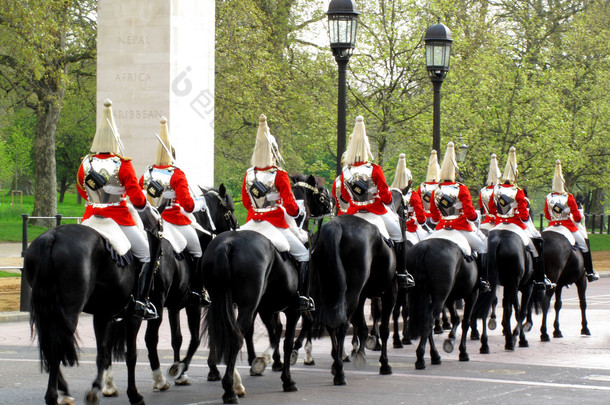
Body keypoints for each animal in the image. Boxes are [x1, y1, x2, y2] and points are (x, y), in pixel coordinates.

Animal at [24, 210, 162, 402]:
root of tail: (52, 236)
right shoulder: (132, 316)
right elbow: (131, 355)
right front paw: (133, 394)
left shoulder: (103, 314)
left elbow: (103, 353)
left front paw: (96, 388)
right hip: (69, 311)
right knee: (57, 345)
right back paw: (53, 395)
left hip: (47, 310)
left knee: (49, 344)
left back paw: (63, 389)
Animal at [404, 237, 480, 370]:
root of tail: (424, 247)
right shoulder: (472, 295)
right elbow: (465, 321)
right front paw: (463, 351)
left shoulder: (450, 298)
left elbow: (456, 318)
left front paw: (451, 338)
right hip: (440, 297)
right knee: (429, 321)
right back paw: (421, 358)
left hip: (419, 294)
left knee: (426, 322)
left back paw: (434, 356)